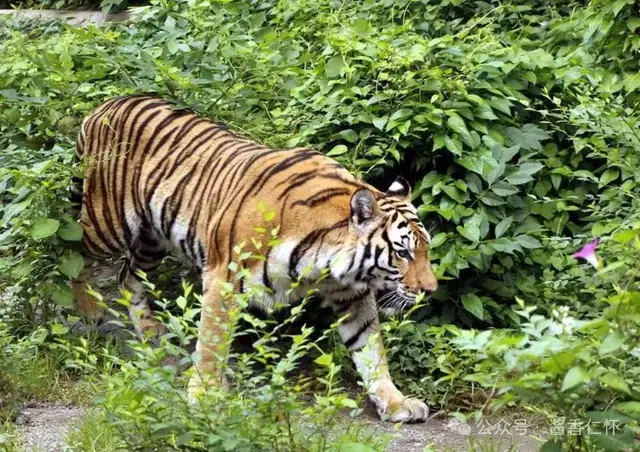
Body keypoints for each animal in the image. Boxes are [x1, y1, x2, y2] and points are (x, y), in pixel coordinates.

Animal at [71, 95, 438, 423]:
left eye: (425, 250)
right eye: (402, 252)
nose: (430, 290)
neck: (326, 260)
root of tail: (106, 105)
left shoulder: (351, 292)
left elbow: (371, 349)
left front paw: (395, 402)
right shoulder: (223, 278)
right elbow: (212, 343)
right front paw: (205, 395)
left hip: (152, 238)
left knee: (128, 276)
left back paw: (148, 328)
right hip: (107, 222)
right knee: (71, 251)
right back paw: (88, 312)